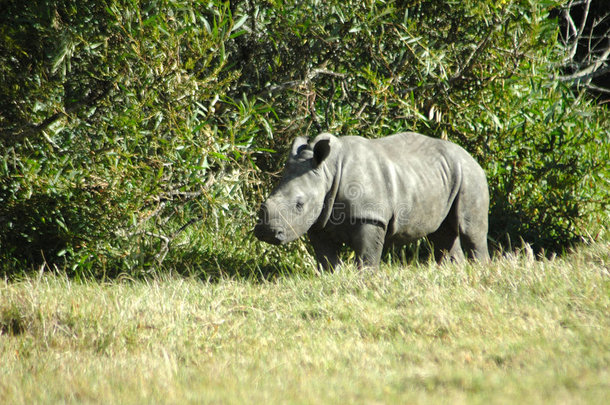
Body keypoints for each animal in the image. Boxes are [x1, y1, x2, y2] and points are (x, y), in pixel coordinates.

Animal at [253, 131, 490, 270]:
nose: (267, 233)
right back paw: (454, 273)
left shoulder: (370, 216)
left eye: (299, 205)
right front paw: (333, 276)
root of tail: (472, 158)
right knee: (442, 232)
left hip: (470, 175)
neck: (328, 170)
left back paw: (480, 270)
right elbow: (326, 257)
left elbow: (367, 253)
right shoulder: (318, 220)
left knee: (470, 229)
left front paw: (366, 278)